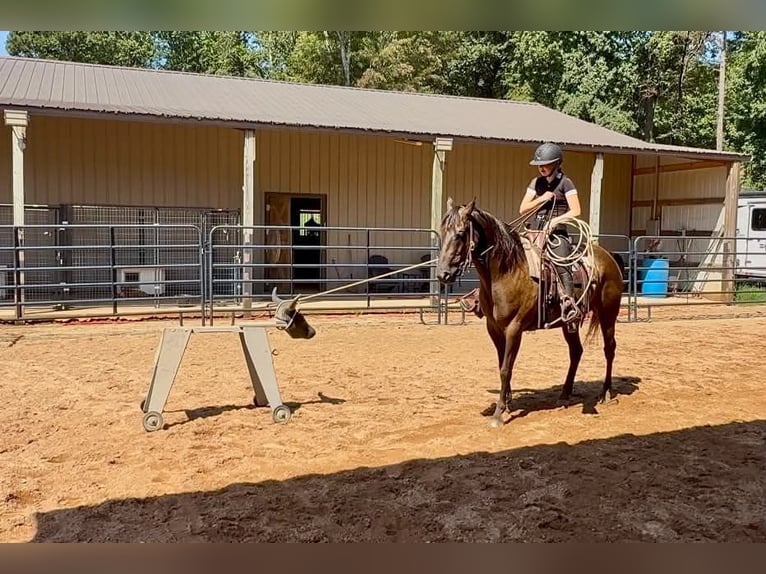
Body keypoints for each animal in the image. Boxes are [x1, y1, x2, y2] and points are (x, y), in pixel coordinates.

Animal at [436, 198, 624, 427]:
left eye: (461, 233)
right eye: (442, 232)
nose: (443, 274)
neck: (507, 271)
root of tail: (609, 257)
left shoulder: (514, 329)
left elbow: (506, 368)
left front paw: (498, 413)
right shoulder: (494, 328)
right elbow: (502, 365)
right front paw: (507, 404)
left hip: (608, 314)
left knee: (609, 349)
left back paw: (605, 393)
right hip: (568, 323)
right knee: (576, 351)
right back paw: (565, 393)